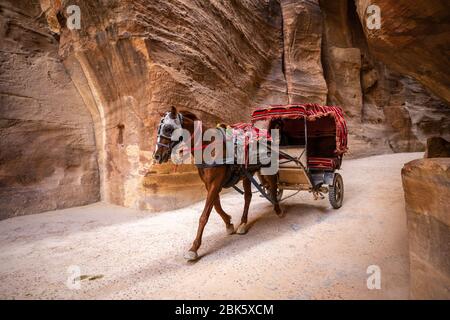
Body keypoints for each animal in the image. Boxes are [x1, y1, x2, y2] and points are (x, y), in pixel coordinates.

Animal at [153, 106, 284, 262]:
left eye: (168, 128)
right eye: (158, 128)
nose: (156, 156)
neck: (208, 147)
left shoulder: (215, 183)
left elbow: (204, 216)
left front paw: (194, 248)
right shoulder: (210, 184)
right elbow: (216, 206)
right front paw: (229, 223)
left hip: (268, 168)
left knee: (273, 186)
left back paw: (277, 209)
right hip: (247, 173)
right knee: (248, 196)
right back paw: (243, 223)